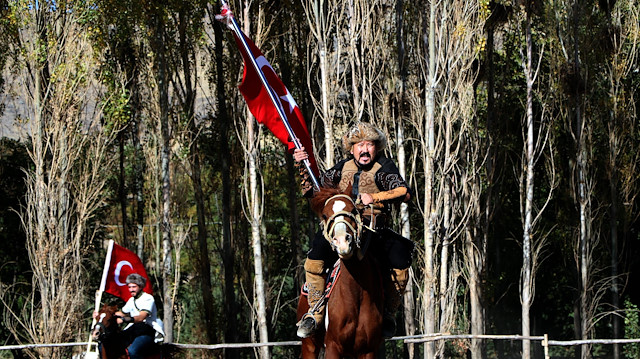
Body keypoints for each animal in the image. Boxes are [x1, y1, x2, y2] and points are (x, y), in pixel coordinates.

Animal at [296, 190, 382, 358]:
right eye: (324, 215)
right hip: (309, 346)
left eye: (353, 210)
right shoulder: (333, 347)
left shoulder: (368, 350)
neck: (355, 296)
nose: (342, 242)